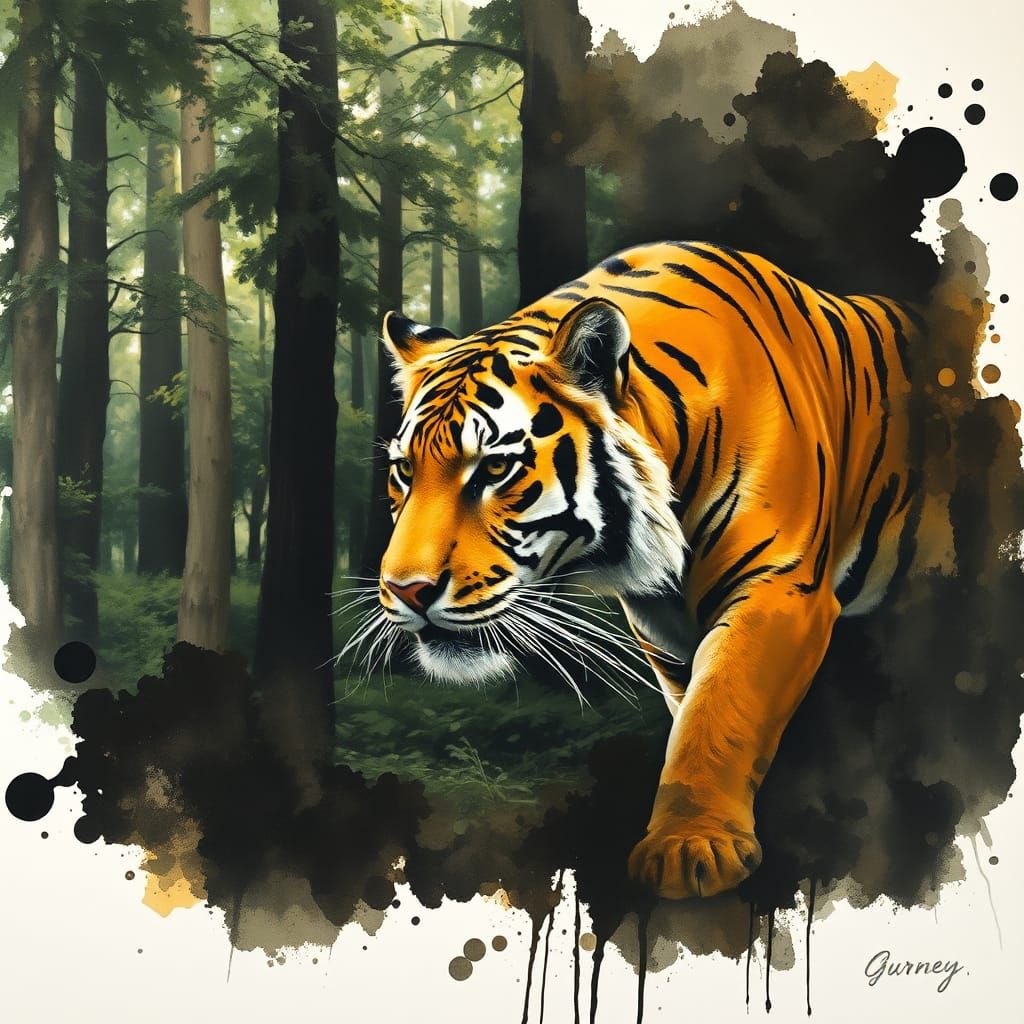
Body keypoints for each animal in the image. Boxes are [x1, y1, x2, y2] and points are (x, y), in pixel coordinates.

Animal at [375, 240, 931, 900]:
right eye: (405, 471)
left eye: (494, 470)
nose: (405, 590)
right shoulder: (661, 622)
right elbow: (691, 710)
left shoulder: (779, 585)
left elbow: (720, 710)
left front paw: (690, 848)